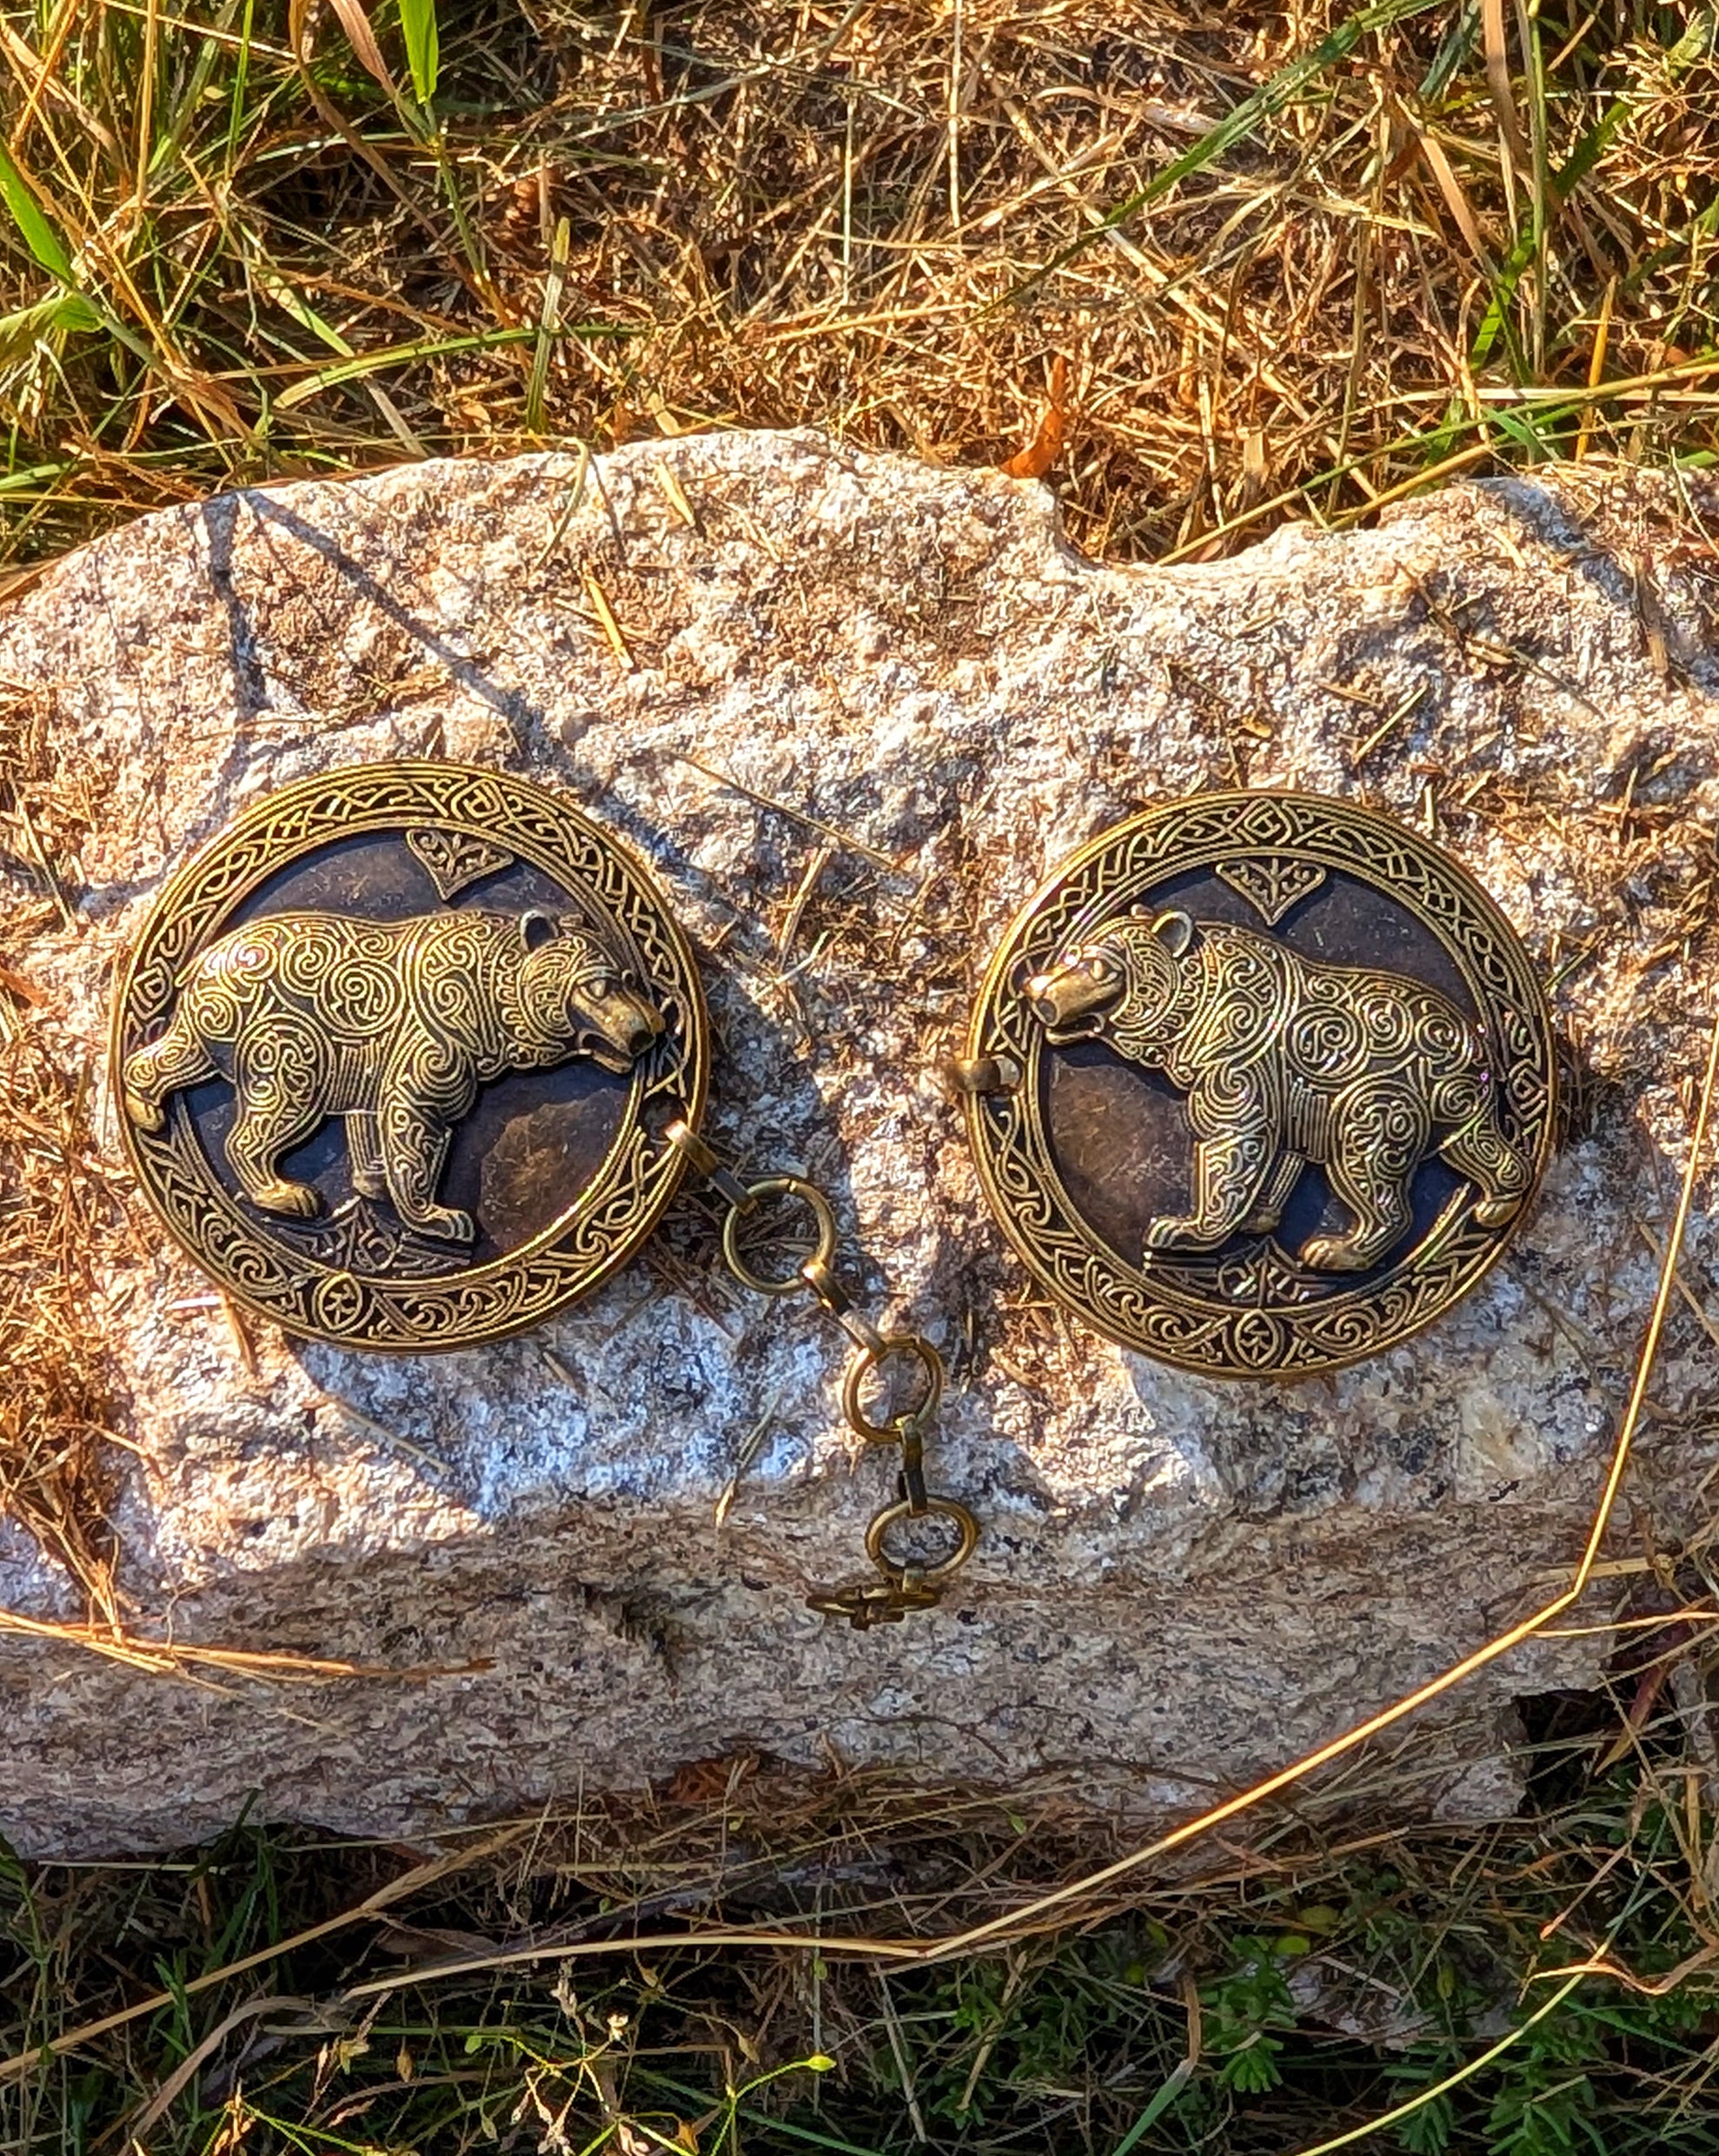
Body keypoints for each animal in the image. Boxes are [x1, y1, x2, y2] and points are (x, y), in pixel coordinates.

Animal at [123, 908, 665, 1243]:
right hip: (285, 1037)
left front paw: (376, 1182)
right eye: (596, 986)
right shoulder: (433, 1042)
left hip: (214, 1023)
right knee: (269, 1112)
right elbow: (417, 1122)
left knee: (177, 1053)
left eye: (629, 979)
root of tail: (205, 959)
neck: (488, 1003)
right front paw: (440, 1216)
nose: (650, 1031)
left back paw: (143, 1105)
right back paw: (284, 1192)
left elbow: (378, 1126)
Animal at [1022, 907, 1530, 1273]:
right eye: (1070, 955)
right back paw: (1497, 1204)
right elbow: (1281, 1159)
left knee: (1376, 1174)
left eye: (1098, 966)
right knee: (1476, 1147)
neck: (1194, 1012)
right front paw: (1258, 1217)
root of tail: (1474, 1040)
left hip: (1380, 1100)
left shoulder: (1240, 1069)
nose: (1037, 992)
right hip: (1454, 1102)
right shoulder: (1289, 1096)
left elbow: (1230, 1146)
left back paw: (1338, 1251)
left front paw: (1186, 1229)